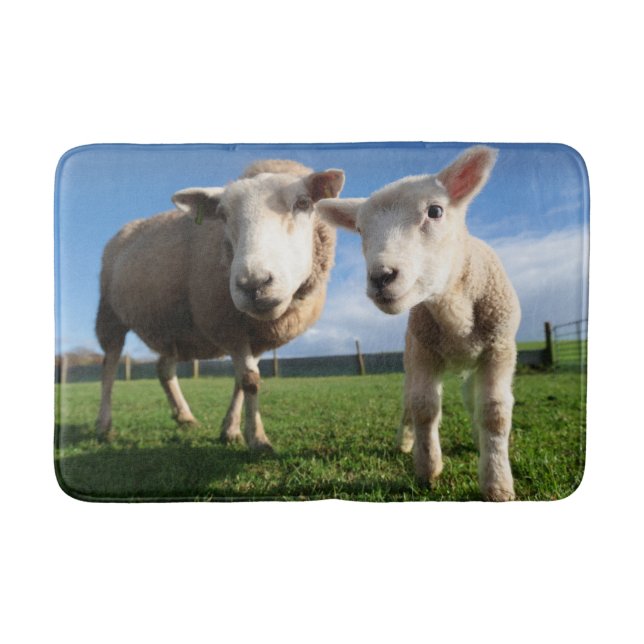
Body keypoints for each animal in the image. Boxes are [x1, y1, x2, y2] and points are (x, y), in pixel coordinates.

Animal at [96, 159, 345, 451]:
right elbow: (250, 381)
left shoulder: (255, 336)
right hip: (110, 315)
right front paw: (258, 439)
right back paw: (104, 426)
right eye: (223, 215)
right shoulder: (228, 327)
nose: (253, 284)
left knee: (163, 368)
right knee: (109, 367)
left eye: (303, 203)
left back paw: (184, 417)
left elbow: (243, 380)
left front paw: (231, 429)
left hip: (173, 325)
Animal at [317, 147, 520, 501]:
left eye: (435, 211)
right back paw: (405, 442)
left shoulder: (499, 350)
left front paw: (497, 483)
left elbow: (494, 413)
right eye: (360, 230)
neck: (454, 311)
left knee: (473, 400)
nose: (381, 277)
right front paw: (427, 469)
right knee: (409, 401)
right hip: (411, 356)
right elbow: (424, 407)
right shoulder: (425, 353)